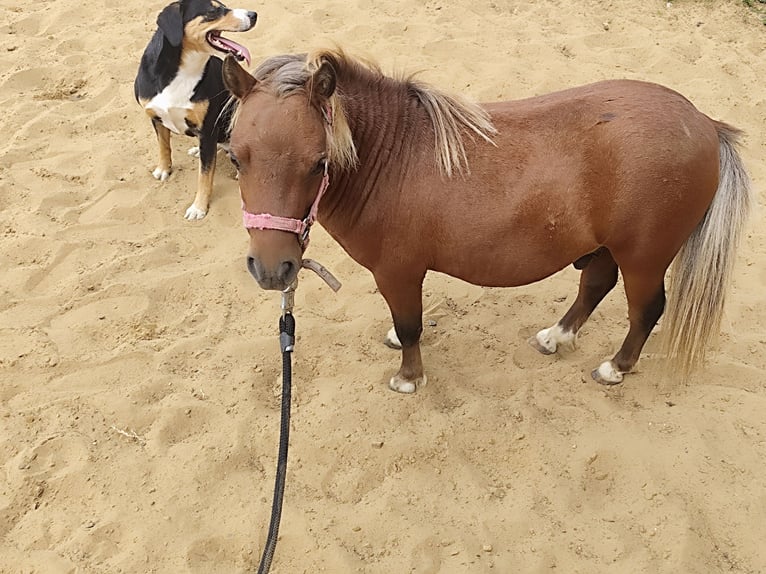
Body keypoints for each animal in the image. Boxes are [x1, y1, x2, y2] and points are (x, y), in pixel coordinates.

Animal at [221, 49, 752, 393]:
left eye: (318, 163)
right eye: (234, 158)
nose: (271, 270)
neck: (392, 157)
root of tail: (705, 124)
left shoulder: (398, 272)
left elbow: (411, 326)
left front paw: (409, 377)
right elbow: (403, 322)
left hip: (644, 257)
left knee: (645, 310)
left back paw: (615, 368)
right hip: (605, 247)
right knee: (595, 285)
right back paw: (557, 336)